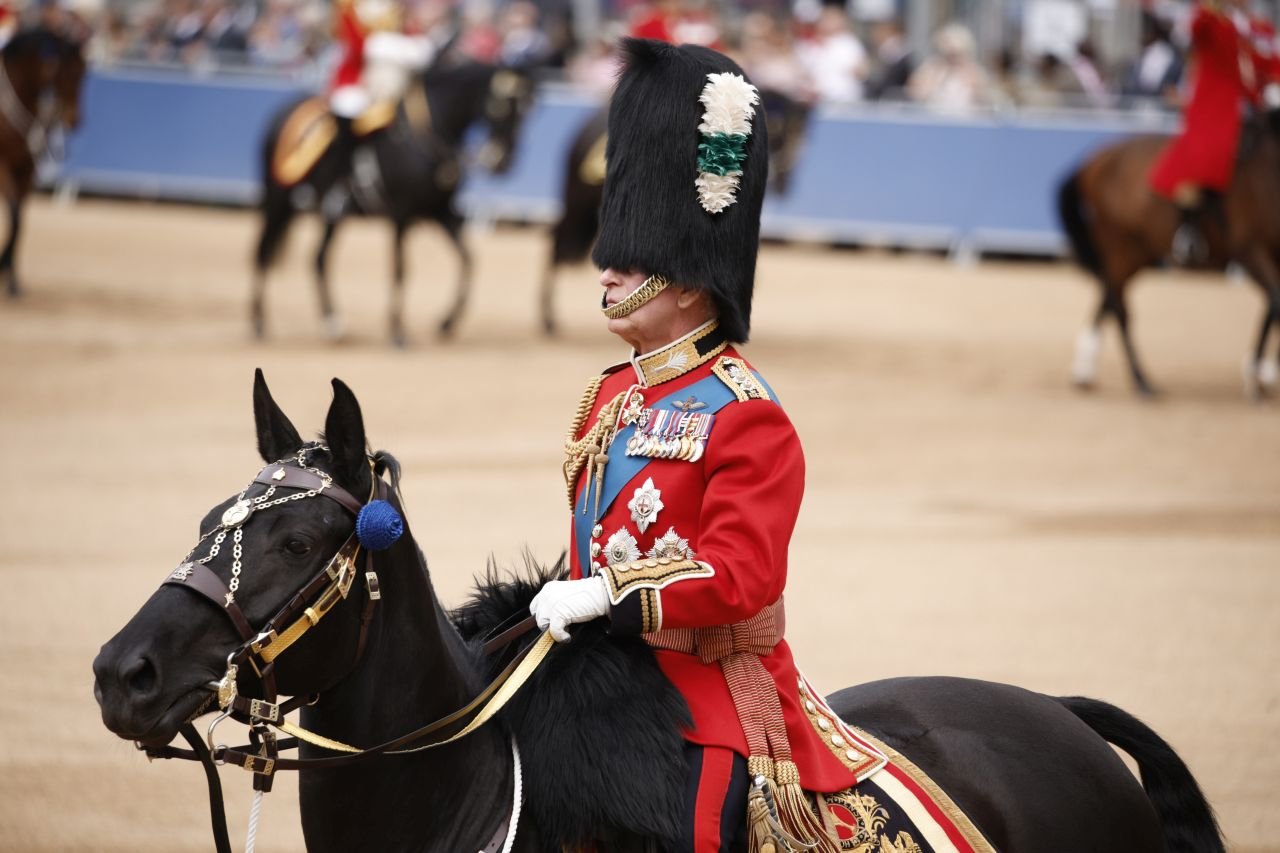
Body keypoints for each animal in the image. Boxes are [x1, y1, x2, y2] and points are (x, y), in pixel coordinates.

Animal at [249, 55, 535, 345]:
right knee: (263, 252)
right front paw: (398, 331)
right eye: (501, 105)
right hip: (277, 199)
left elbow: (468, 260)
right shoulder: (401, 214)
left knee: (318, 258)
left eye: (527, 110)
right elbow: (400, 269)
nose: (503, 163)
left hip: (330, 217)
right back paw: (260, 323)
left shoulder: (441, 212)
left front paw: (446, 322)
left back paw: (331, 322)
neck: (426, 136)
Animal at [540, 89, 808, 335]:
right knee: (557, 241)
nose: (784, 184)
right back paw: (548, 320)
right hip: (578, 202)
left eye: (799, 136)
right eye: (778, 130)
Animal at [1054, 111, 1280, 397]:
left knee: (1110, 296)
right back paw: (1141, 380)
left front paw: (1260, 373)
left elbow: (1273, 305)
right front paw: (1256, 377)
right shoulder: (1249, 248)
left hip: (1138, 251)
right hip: (1123, 245)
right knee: (1120, 307)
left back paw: (1086, 370)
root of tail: (1098, 159)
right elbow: (1275, 302)